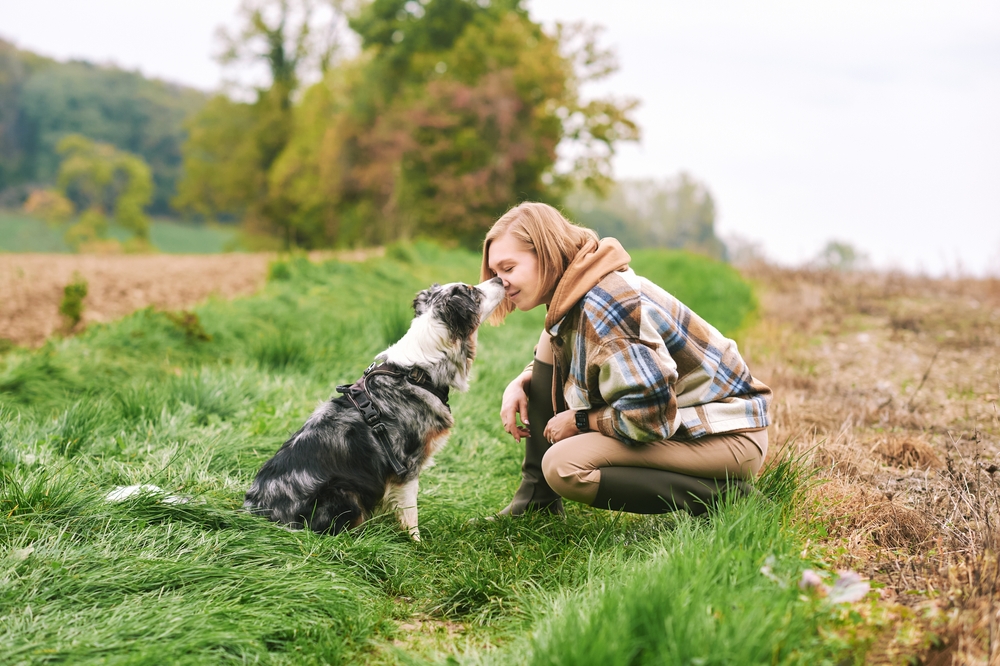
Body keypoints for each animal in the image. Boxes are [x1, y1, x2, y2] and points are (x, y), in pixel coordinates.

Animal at [243, 276, 508, 540]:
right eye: (473, 291)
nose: (499, 278)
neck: (417, 373)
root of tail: (258, 513)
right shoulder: (407, 466)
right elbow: (410, 513)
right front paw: (416, 543)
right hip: (343, 491)